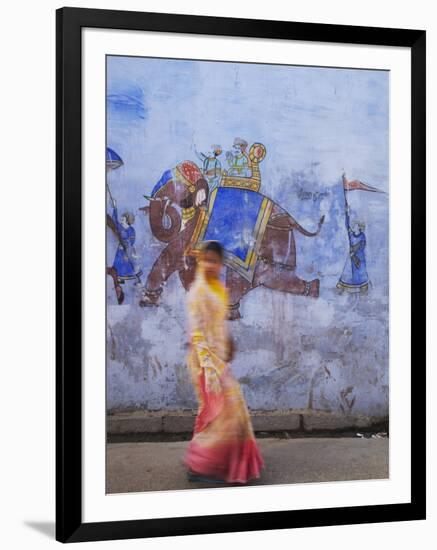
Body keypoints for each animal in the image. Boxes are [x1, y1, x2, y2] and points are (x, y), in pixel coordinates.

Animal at [140, 161, 324, 320]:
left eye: (170, 186)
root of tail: (291, 219)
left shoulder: (193, 232)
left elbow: (171, 255)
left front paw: (147, 302)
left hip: (274, 237)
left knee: (268, 276)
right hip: (281, 238)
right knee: (275, 276)